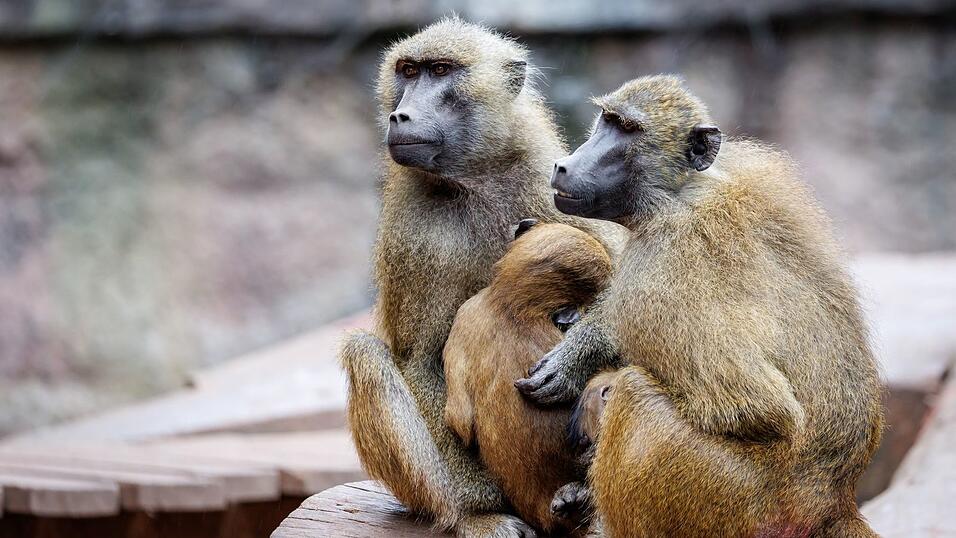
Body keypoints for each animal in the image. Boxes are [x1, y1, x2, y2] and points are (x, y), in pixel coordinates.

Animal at [516, 75, 883, 537]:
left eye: (628, 129)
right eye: (606, 120)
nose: (564, 166)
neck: (678, 193)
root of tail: (832, 501)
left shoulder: (659, 270)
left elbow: (758, 408)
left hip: (734, 498)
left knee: (633, 395)